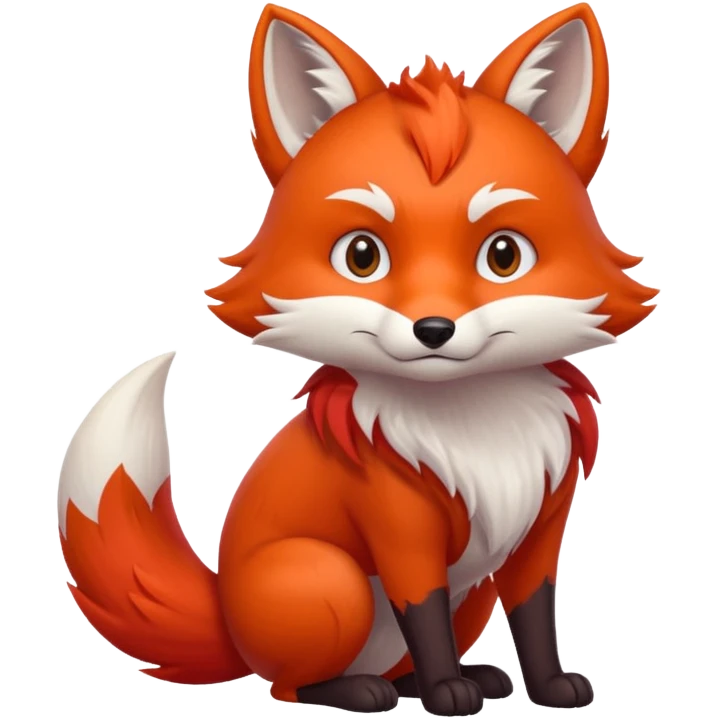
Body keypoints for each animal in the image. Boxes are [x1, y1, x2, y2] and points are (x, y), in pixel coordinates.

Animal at [57, 2, 657, 715]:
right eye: (362, 256)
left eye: (504, 255)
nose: (434, 328)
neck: (476, 428)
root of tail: (227, 618)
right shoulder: (401, 530)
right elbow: (423, 616)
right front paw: (446, 692)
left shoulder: (540, 527)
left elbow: (536, 618)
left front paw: (546, 686)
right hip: (329, 579)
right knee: (290, 682)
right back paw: (364, 689)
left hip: (471, 592)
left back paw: (455, 678)